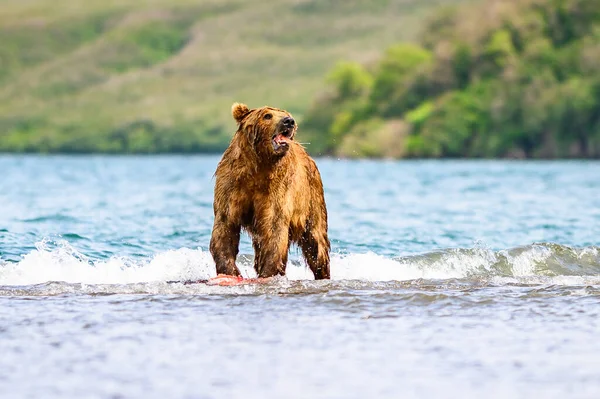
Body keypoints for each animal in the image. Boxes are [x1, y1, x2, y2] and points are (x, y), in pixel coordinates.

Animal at [210, 101, 332, 280]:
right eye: (267, 115)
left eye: (286, 114)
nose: (289, 121)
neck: (260, 164)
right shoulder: (231, 187)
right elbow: (225, 227)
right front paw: (230, 271)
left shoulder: (277, 191)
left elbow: (274, 232)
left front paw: (268, 272)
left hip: (312, 199)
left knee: (316, 243)